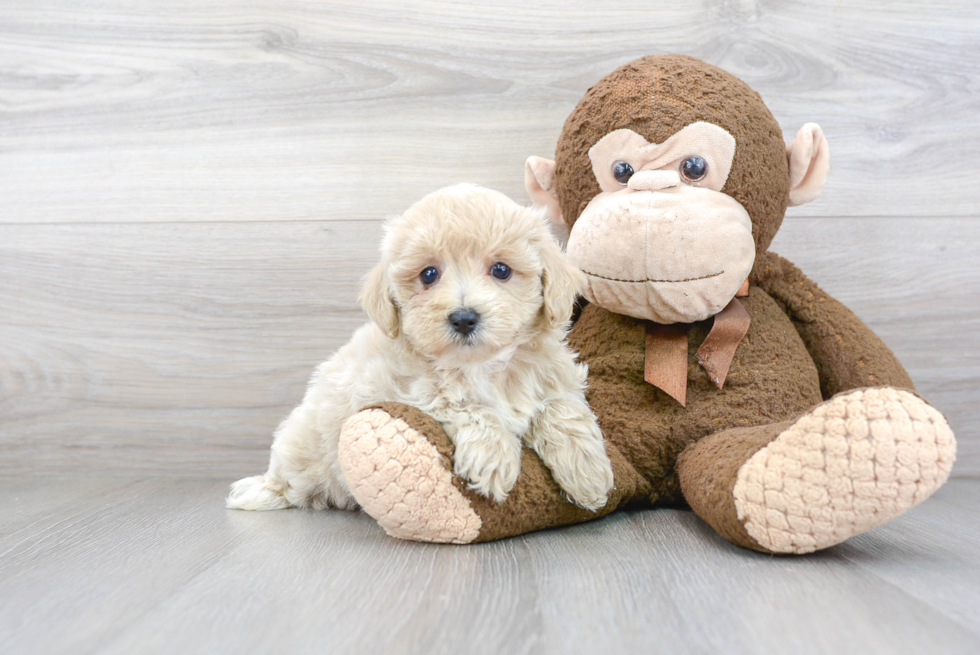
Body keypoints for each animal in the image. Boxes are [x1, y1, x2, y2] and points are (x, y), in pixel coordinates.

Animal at [229, 183, 612, 512]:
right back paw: (261, 491)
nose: (463, 318)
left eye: (501, 270)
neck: (483, 367)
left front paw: (588, 471)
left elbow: (561, 408)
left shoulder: (554, 376)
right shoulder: (405, 391)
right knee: (286, 478)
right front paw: (492, 459)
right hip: (301, 443)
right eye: (429, 274)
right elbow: (468, 407)